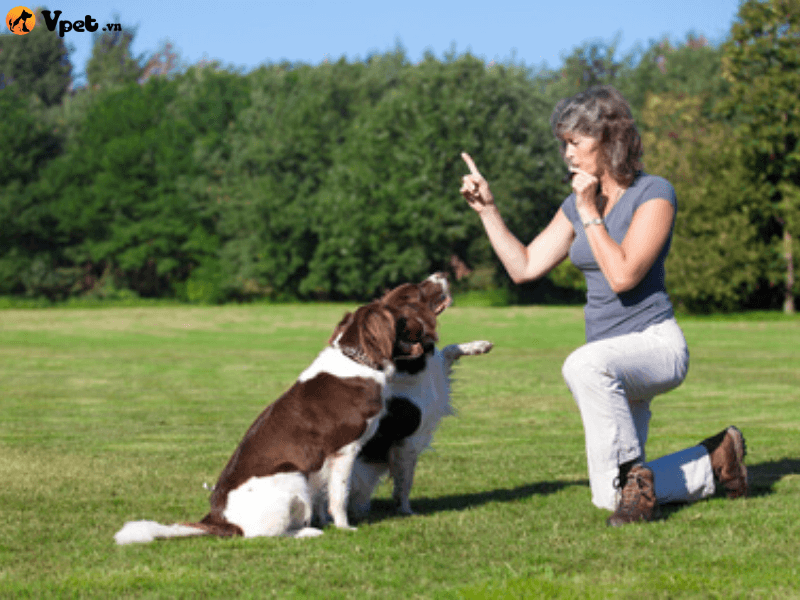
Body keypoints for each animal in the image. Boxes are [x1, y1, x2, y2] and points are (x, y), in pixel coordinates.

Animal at [114, 288, 444, 548]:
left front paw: (325, 520)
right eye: (402, 318)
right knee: (261, 535)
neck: (356, 359)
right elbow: (339, 494)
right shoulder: (344, 450)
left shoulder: (321, 461)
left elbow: (322, 494)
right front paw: (343, 526)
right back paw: (306, 533)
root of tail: (219, 520)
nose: (425, 329)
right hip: (290, 477)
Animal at [346, 274, 490, 516]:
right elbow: (405, 481)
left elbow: (449, 349)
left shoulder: (437, 378)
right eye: (418, 290)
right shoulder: (408, 440)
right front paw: (405, 511)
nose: (441, 274)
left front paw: (479, 345)